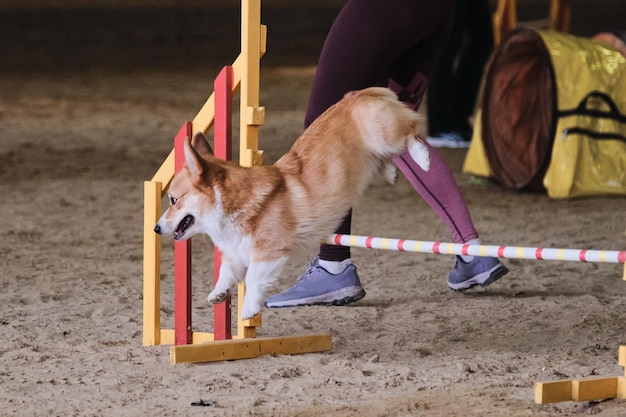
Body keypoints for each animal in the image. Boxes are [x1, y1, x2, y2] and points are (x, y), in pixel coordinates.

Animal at [153, 86, 426, 316]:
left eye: (173, 200)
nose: (156, 228)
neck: (231, 202)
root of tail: (362, 92)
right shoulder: (236, 251)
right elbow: (226, 271)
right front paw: (218, 293)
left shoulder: (269, 251)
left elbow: (253, 278)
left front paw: (249, 310)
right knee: (387, 158)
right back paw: (391, 173)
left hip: (383, 133)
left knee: (411, 134)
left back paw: (423, 158)